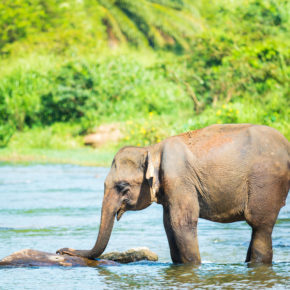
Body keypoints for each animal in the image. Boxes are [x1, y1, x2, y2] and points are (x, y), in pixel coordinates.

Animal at [57, 123, 290, 264]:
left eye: (122, 186)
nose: (60, 251)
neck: (151, 149)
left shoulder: (179, 179)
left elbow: (182, 223)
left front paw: (193, 267)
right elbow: (168, 225)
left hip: (267, 180)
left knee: (259, 226)